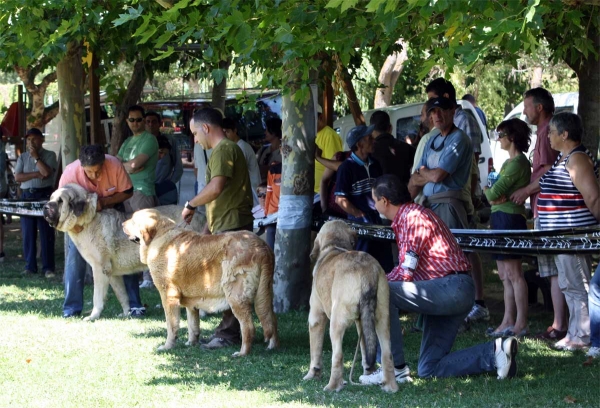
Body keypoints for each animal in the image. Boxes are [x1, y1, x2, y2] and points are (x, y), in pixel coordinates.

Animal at [123, 209, 282, 356]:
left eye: (133, 220)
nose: (122, 224)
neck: (159, 235)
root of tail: (262, 247)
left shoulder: (168, 297)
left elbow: (172, 325)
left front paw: (168, 346)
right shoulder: (191, 302)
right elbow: (193, 325)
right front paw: (191, 343)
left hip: (236, 297)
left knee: (248, 327)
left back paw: (242, 353)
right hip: (264, 294)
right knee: (271, 319)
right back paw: (273, 347)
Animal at [302, 222, 396, 394]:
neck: (334, 246)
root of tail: (367, 272)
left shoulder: (316, 317)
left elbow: (315, 351)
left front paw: (312, 374)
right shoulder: (361, 323)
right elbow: (366, 350)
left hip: (336, 322)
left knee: (338, 356)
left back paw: (332, 387)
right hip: (382, 319)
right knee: (387, 354)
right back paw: (390, 387)